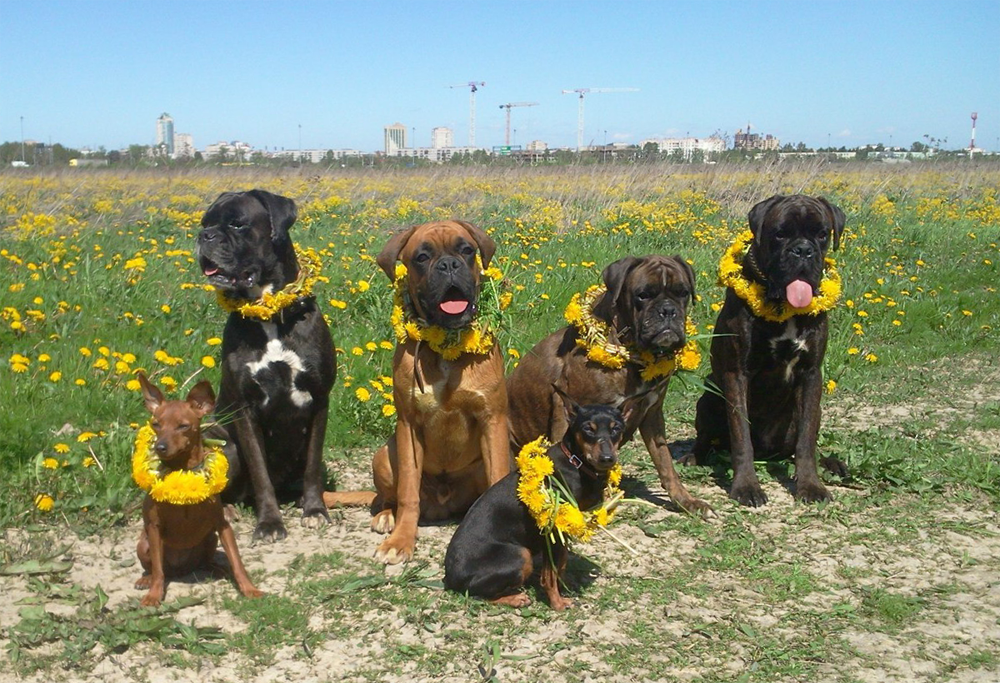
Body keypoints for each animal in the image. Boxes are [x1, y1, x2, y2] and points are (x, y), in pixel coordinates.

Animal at [135, 374, 264, 608]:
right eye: (156, 424)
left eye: (183, 426)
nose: (160, 447)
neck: (184, 472)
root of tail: (181, 571)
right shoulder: (154, 528)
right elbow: (158, 570)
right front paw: (154, 595)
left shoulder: (223, 526)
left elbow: (238, 562)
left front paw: (249, 589)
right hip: (144, 543)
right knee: (156, 568)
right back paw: (146, 579)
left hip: (210, 538)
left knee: (206, 562)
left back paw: (219, 569)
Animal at [195, 190, 336, 544]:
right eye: (205, 223)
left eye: (237, 223)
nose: (205, 236)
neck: (271, 316)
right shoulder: (245, 410)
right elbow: (260, 474)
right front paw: (270, 523)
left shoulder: (319, 400)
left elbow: (313, 464)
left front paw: (315, 510)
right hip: (226, 447)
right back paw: (228, 510)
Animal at [324, 220, 512, 568]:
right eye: (422, 257)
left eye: (466, 250)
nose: (449, 264)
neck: (446, 346)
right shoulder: (409, 428)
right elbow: (408, 494)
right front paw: (401, 540)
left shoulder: (492, 421)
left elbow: (498, 478)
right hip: (385, 455)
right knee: (388, 498)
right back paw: (387, 516)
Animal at [508, 256, 712, 520]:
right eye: (643, 295)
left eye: (683, 292)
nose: (668, 310)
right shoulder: (566, 404)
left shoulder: (652, 413)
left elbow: (665, 462)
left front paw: (685, 500)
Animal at [692, 195, 848, 504]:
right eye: (780, 233)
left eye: (822, 234)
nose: (803, 250)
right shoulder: (737, 375)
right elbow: (741, 436)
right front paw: (746, 486)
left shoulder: (811, 374)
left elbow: (806, 441)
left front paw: (810, 485)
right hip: (708, 398)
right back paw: (692, 458)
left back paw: (833, 464)